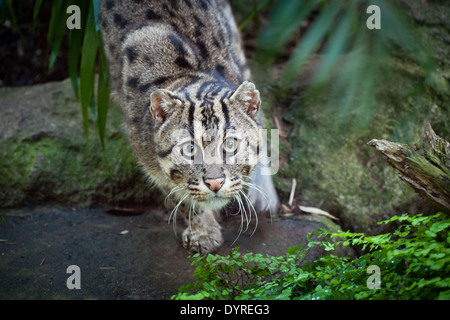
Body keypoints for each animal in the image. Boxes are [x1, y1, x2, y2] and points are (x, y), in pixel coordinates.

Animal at [99, 0, 278, 255]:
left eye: (230, 144)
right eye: (189, 149)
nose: (215, 183)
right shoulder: (152, 163)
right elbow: (179, 195)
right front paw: (203, 231)